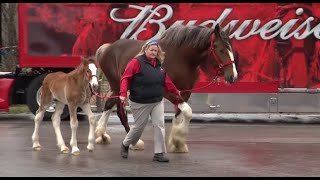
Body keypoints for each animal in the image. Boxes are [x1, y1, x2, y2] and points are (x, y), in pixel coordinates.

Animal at [94, 24, 236, 153]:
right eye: (221, 50)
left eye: (231, 49)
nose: (233, 76)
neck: (182, 58)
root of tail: (107, 48)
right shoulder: (166, 90)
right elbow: (188, 111)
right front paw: (178, 140)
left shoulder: (185, 91)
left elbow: (180, 114)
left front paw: (177, 143)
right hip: (118, 86)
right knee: (119, 110)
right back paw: (135, 142)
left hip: (117, 87)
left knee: (108, 103)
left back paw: (102, 134)